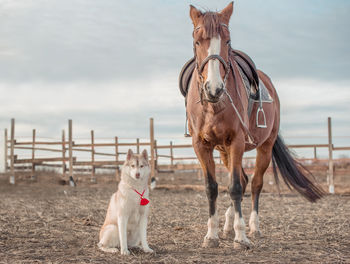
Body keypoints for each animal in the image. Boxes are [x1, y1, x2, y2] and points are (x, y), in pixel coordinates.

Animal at [185, 2, 324, 249]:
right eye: (197, 41)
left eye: (227, 41)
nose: (214, 88)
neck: (215, 105)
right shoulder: (201, 145)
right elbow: (212, 188)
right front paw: (212, 235)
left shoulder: (237, 142)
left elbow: (236, 188)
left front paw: (241, 237)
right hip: (224, 151)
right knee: (241, 179)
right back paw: (228, 225)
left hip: (264, 148)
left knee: (255, 184)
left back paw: (253, 227)